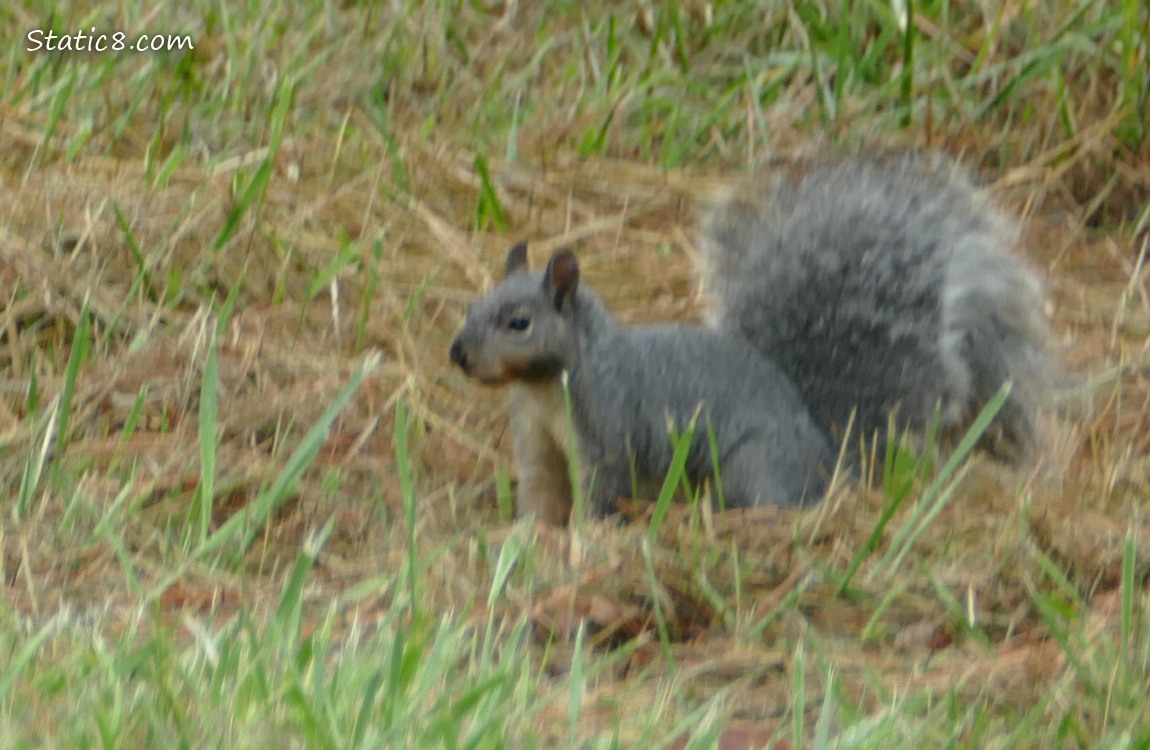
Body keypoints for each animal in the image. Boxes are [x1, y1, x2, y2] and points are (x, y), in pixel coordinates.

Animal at [450, 154, 1054, 524]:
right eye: (472, 307)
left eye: (519, 323)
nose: (458, 355)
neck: (544, 387)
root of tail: (832, 463)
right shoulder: (537, 441)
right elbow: (538, 493)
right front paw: (527, 536)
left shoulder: (608, 428)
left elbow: (602, 489)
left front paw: (588, 537)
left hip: (752, 463)